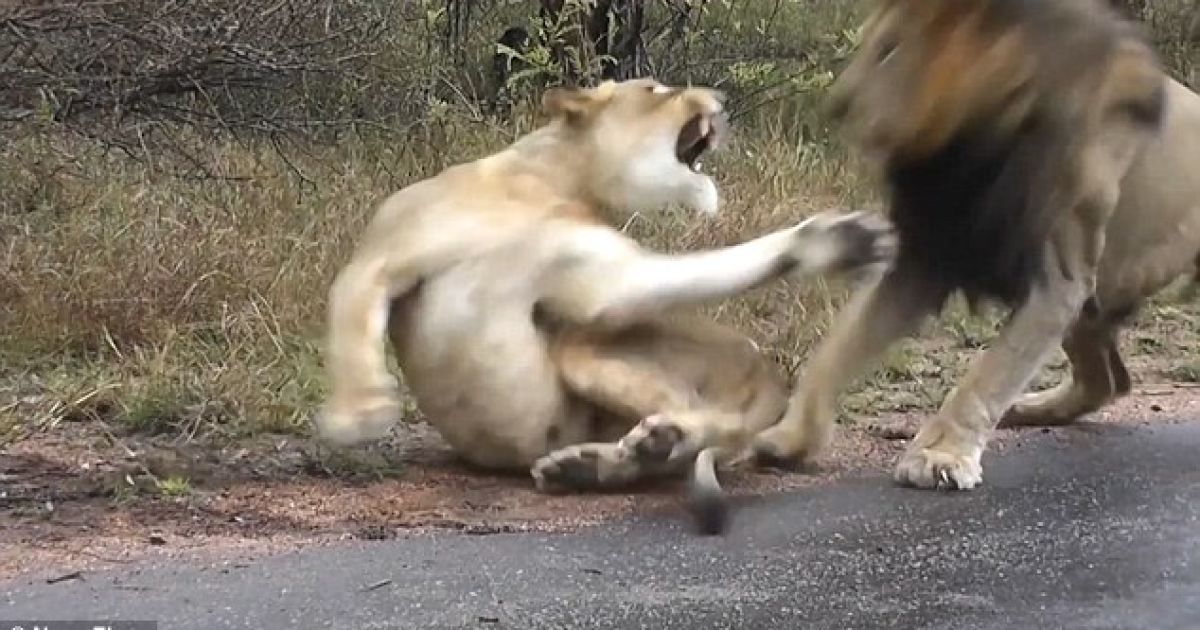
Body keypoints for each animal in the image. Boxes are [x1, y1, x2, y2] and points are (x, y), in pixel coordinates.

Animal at [314, 77, 897, 530]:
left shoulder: (602, 278)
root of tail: (770, 374)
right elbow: (349, 317)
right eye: (657, 89)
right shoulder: (381, 255)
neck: (548, 180)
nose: (720, 98)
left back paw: (644, 444)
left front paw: (829, 242)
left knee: (704, 421)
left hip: (585, 350)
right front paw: (359, 412)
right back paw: (593, 463)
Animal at [758, 0, 1200, 489]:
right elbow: (836, 349)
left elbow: (989, 374)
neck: (972, 142)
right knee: (1109, 380)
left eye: (890, 50)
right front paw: (790, 437)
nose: (836, 106)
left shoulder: (1058, 279)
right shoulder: (928, 253)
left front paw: (941, 455)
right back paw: (1032, 408)